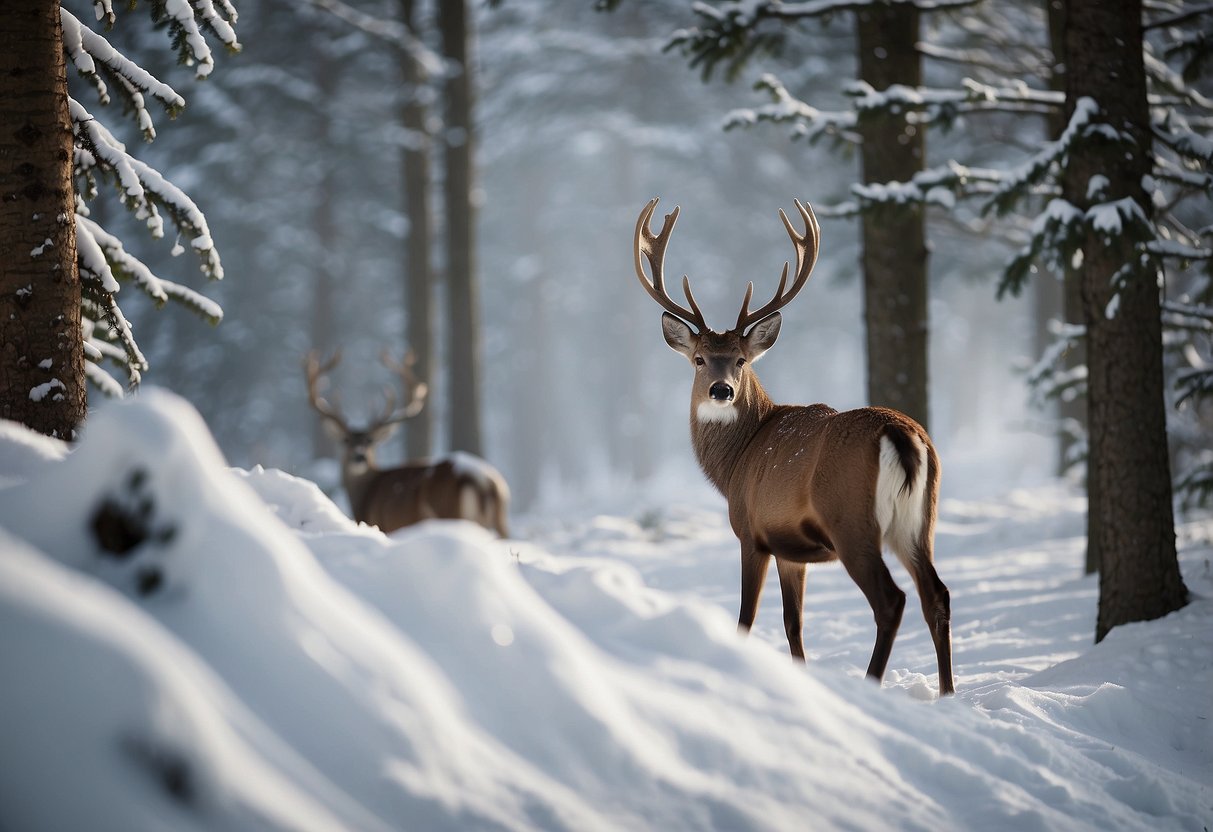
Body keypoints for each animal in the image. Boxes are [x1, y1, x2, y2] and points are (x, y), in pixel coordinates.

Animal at [308, 349, 511, 538]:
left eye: (370, 441)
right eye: (345, 440)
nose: (359, 456)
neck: (365, 495)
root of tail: (484, 481)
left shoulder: (382, 524)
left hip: (452, 512)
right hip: (501, 520)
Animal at [635, 197, 955, 698]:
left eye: (741, 360)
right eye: (700, 359)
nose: (722, 390)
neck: (735, 464)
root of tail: (901, 434)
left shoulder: (752, 532)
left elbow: (746, 620)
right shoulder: (791, 551)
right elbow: (793, 624)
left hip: (852, 520)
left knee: (892, 600)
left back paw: (871, 684)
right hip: (920, 521)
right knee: (936, 594)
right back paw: (947, 695)